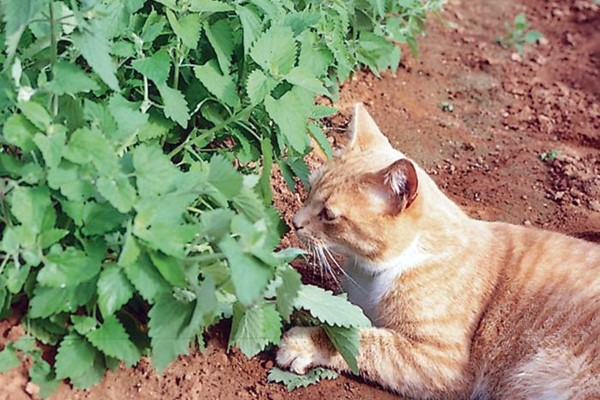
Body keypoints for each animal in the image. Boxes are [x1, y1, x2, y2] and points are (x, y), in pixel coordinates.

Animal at [276, 104, 600, 400]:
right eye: (309, 189)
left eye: (329, 215)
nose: (294, 222)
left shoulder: (440, 361)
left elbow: (364, 340)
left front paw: (303, 342)